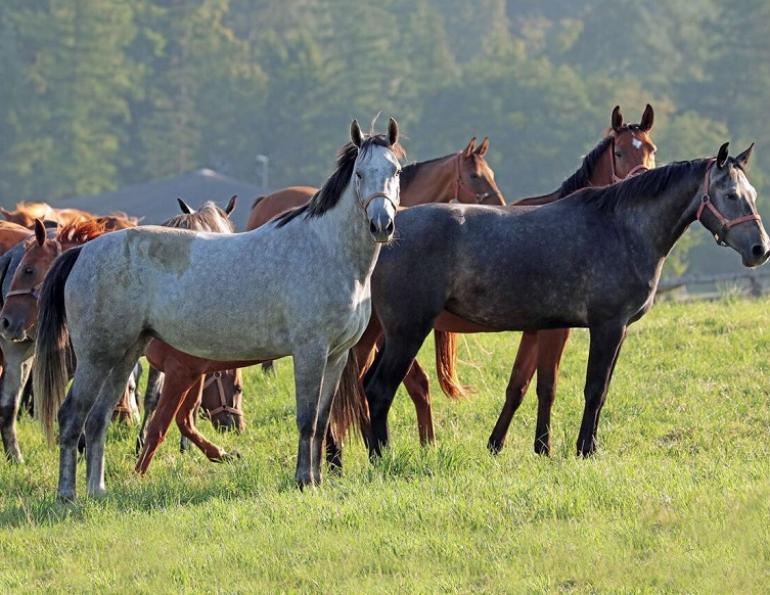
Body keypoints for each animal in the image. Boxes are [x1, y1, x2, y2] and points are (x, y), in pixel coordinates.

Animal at [34, 118, 403, 499]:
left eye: (396, 170)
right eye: (359, 173)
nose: (381, 225)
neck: (326, 250)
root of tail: (83, 252)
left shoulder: (337, 355)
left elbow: (321, 418)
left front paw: (315, 480)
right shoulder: (310, 352)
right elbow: (306, 420)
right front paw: (304, 480)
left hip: (124, 354)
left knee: (98, 419)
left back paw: (98, 490)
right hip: (96, 357)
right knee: (72, 416)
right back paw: (67, 495)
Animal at [360, 143, 767, 459]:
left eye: (752, 195)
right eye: (731, 195)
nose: (760, 249)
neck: (621, 228)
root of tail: (383, 232)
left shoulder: (608, 331)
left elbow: (587, 389)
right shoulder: (606, 326)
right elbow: (593, 388)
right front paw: (584, 449)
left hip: (382, 334)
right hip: (406, 332)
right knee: (379, 390)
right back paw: (383, 458)